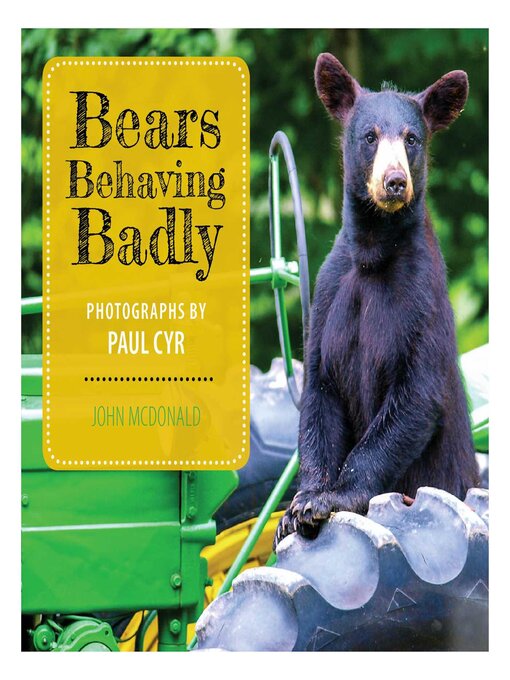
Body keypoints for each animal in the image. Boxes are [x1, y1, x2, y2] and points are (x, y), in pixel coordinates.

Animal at [274, 53, 481, 548]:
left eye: (411, 138)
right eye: (369, 136)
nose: (394, 181)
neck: (374, 253)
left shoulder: (423, 297)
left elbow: (415, 396)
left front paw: (327, 500)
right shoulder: (329, 296)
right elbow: (319, 392)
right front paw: (298, 505)